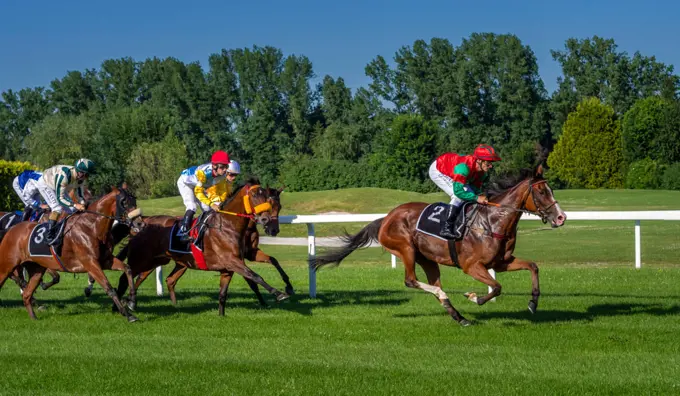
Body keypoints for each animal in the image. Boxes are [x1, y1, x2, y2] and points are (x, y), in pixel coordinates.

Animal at [0, 187, 142, 320]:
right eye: (124, 202)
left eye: (134, 200)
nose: (139, 223)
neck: (91, 227)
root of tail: (10, 230)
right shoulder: (90, 263)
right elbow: (109, 287)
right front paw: (127, 314)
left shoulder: (105, 260)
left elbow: (128, 269)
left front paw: (132, 301)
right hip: (7, 266)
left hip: (37, 269)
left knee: (26, 294)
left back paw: (34, 316)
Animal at [112, 183, 292, 316]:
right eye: (255, 196)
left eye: (278, 205)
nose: (270, 225)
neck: (229, 225)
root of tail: (140, 225)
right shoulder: (233, 261)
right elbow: (255, 277)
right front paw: (278, 293)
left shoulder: (237, 261)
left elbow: (224, 293)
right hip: (143, 259)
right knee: (127, 277)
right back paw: (126, 304)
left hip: (170, 261)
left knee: (166, 279)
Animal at [310, 166, 564, 326]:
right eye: (542, 191)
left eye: (551, 190)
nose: (561, 217)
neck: (492, 221)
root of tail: (386, 217)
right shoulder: (472, 266)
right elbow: (497, 287)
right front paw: (475, 297)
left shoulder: (501, 262)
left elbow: (533, 266)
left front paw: (533, 303)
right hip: (405, 249)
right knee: (411, 280)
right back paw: (445, 296)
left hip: (428, 259)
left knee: (431, 283)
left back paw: (460, 317)